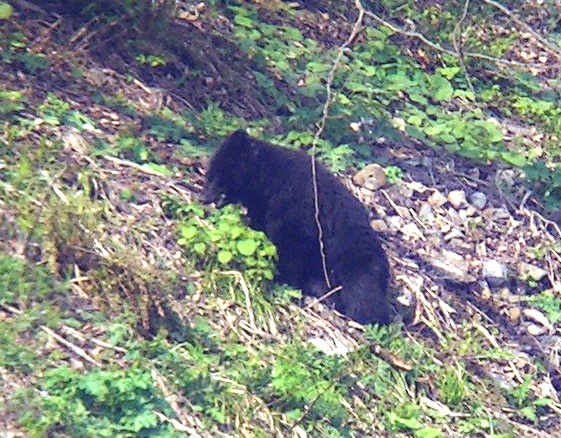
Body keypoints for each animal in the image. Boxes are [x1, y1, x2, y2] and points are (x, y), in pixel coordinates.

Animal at [200, 128, 390, 324]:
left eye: (218, 176)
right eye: (209, 174)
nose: (202, 197)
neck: (268, 183)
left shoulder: (298, 205)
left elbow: (293, 244)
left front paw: (282, 278)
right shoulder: (262, 207)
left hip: (357, 260)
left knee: (362, 293)